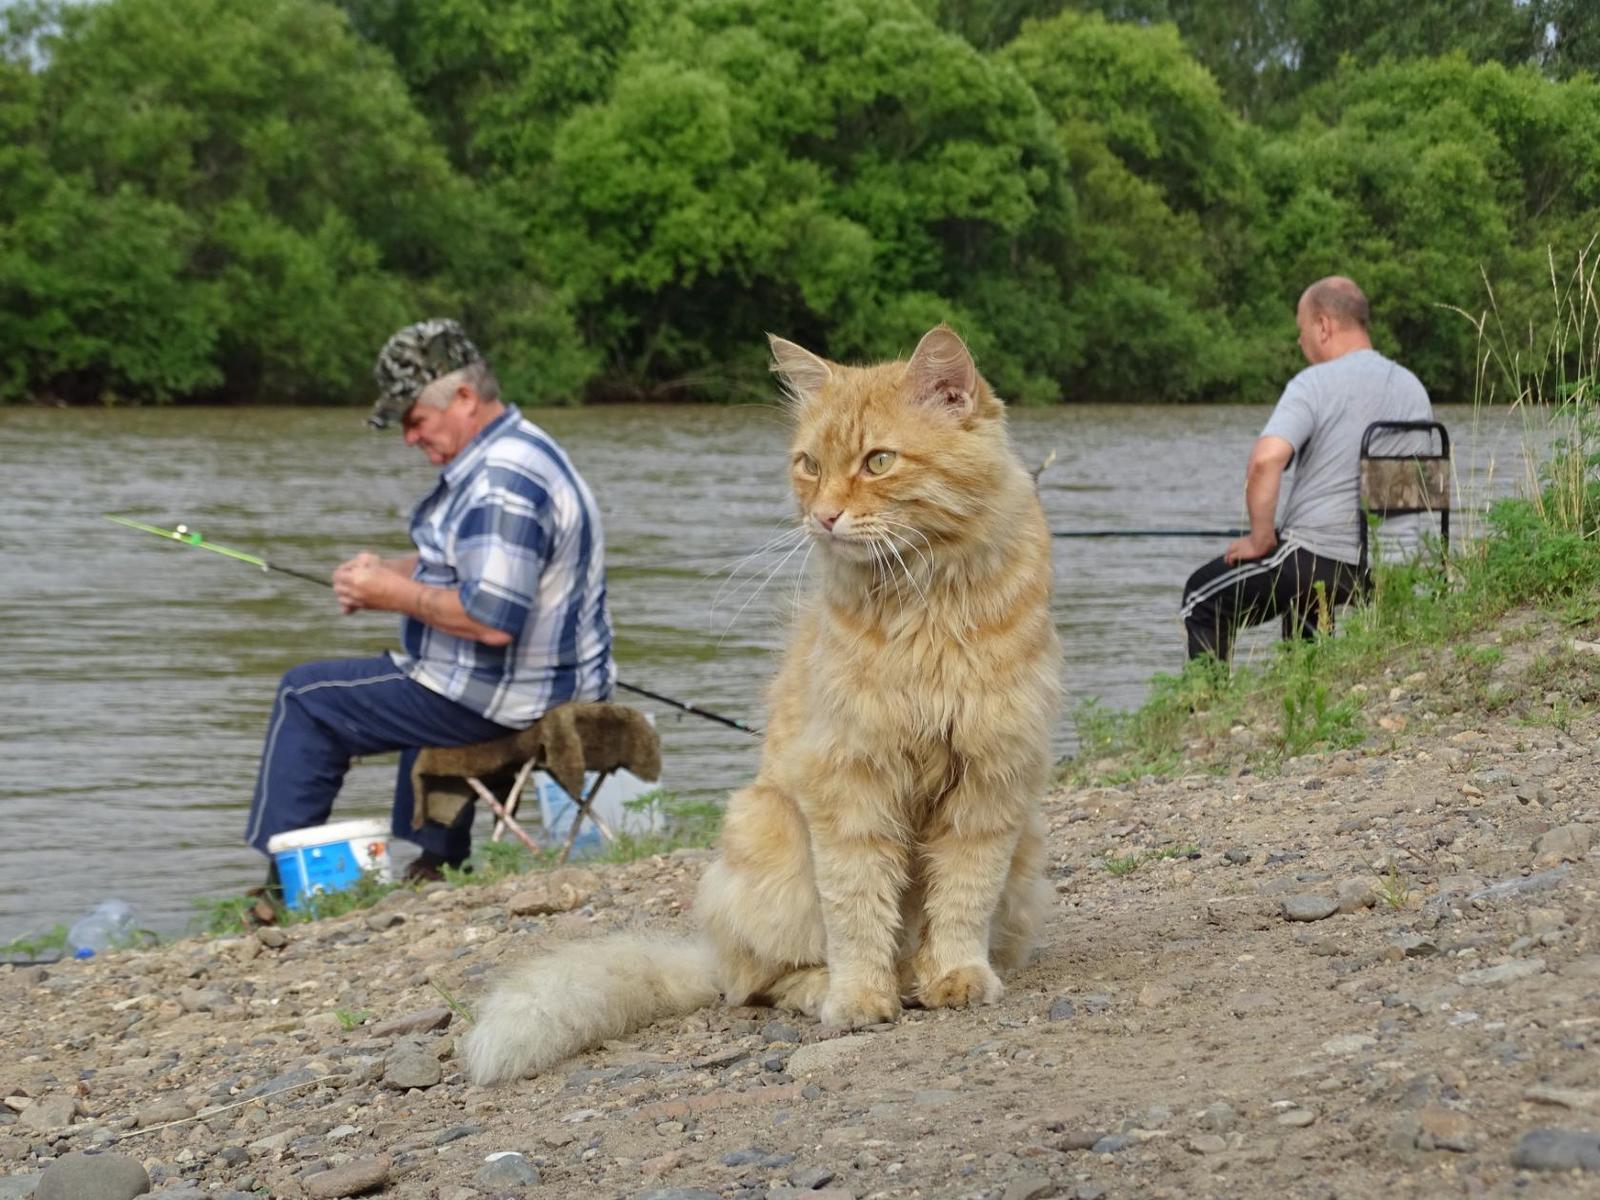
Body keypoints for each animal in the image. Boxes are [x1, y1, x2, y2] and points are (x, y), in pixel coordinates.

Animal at [464, 324, 1062, 1088]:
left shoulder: (992, 781)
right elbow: (858, 909)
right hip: (769, 841)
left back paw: (917, 977)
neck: (923, 601)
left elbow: (960, 899)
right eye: (809, 465)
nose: (824, 516)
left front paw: (956, 977)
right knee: (756, 983)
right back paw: (834, 987)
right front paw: (860, 999)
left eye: (878, 461)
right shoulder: (850, 782)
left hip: (1026, 855)